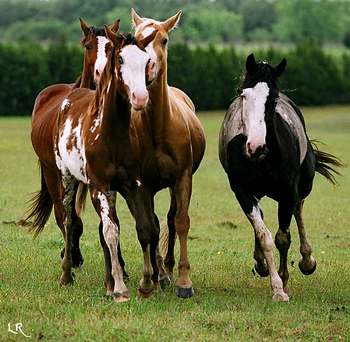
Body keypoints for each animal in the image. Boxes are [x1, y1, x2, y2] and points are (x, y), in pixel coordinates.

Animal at [133, 9, 206, 298]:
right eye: (134, 40)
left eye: (163, 40)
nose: (146, 68)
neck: (158, 127)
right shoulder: (142, 184)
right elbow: (148, 229)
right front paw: (150, 280)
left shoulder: (183, 178)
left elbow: (181, 222)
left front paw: (184, 282)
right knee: (154, 224)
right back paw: (161, 274)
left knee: (172, 221)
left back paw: (170, 269)